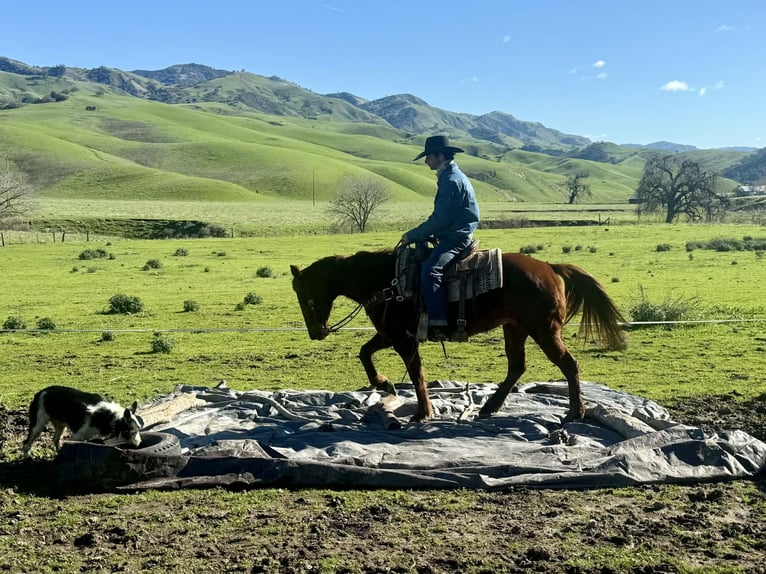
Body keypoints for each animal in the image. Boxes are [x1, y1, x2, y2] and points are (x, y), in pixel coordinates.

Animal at [290, 247, 626, 424]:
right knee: (516, 366)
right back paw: (489, 407)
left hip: (544, 330)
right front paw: (385, 384)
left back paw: (575, 412)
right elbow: (365, 353)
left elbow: (417, 373)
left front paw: (422, 413)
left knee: (568, 365)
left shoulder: (403, 339)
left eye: (303, 294)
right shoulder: (389, 334)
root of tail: (549, 267)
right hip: (514, 328)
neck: (386, 280)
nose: (315, 333)